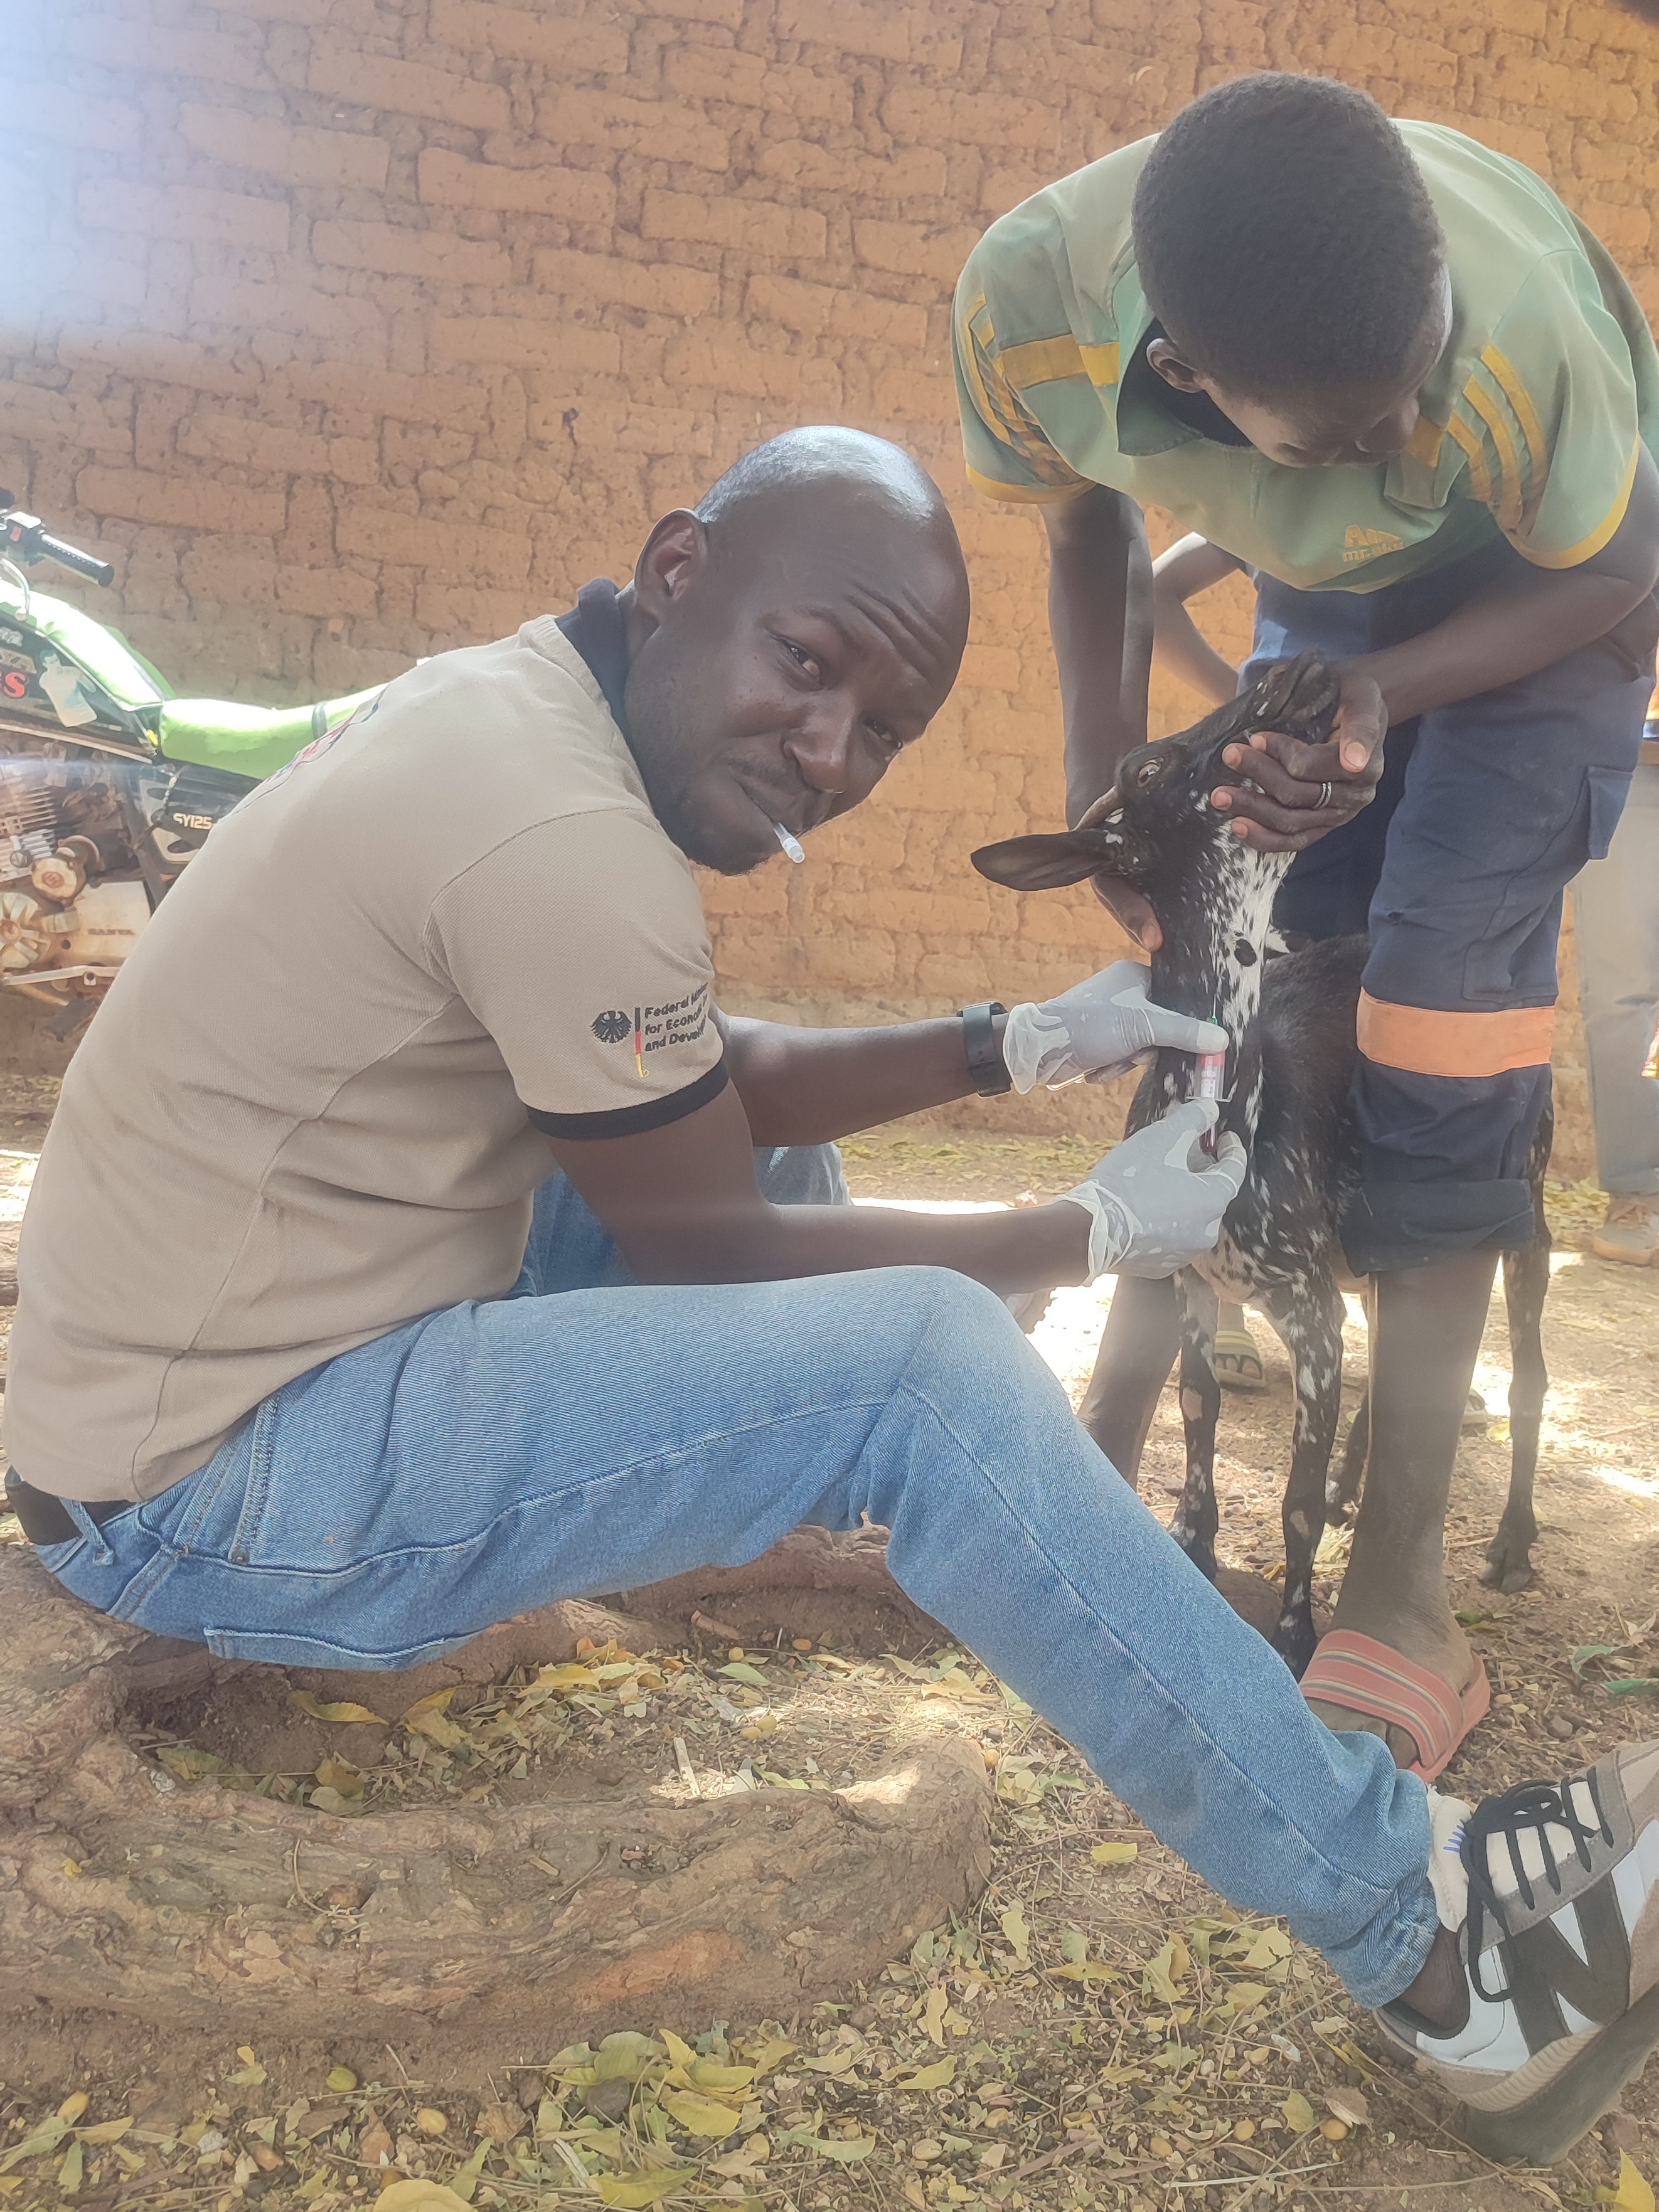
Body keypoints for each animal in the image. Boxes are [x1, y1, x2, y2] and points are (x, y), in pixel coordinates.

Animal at [982, 654, 1557, 1672]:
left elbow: (1288, 1500)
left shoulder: (1307, 1302)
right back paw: (1353, 1489)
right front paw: (1192, 1546)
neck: (1222, 1116)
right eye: (1146, 767)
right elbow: (1196, 1411)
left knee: (1524, 1372)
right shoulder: (1191, 1285)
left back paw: (1511, 1543)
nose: (1300, 669)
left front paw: (1294, 1633)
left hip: (1519, 1203)